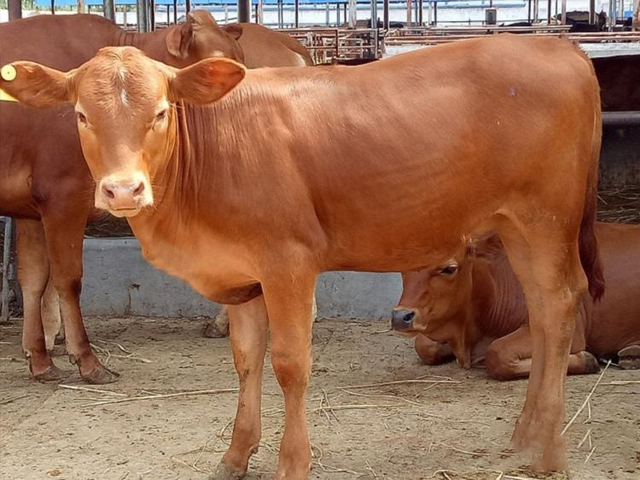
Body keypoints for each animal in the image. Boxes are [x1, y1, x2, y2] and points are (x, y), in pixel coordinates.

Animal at [392, 223, 640, 380]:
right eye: (401, 268)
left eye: (449, 268)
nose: (400, 317)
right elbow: (424, 345)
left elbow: (497, 353)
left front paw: (587, 359)